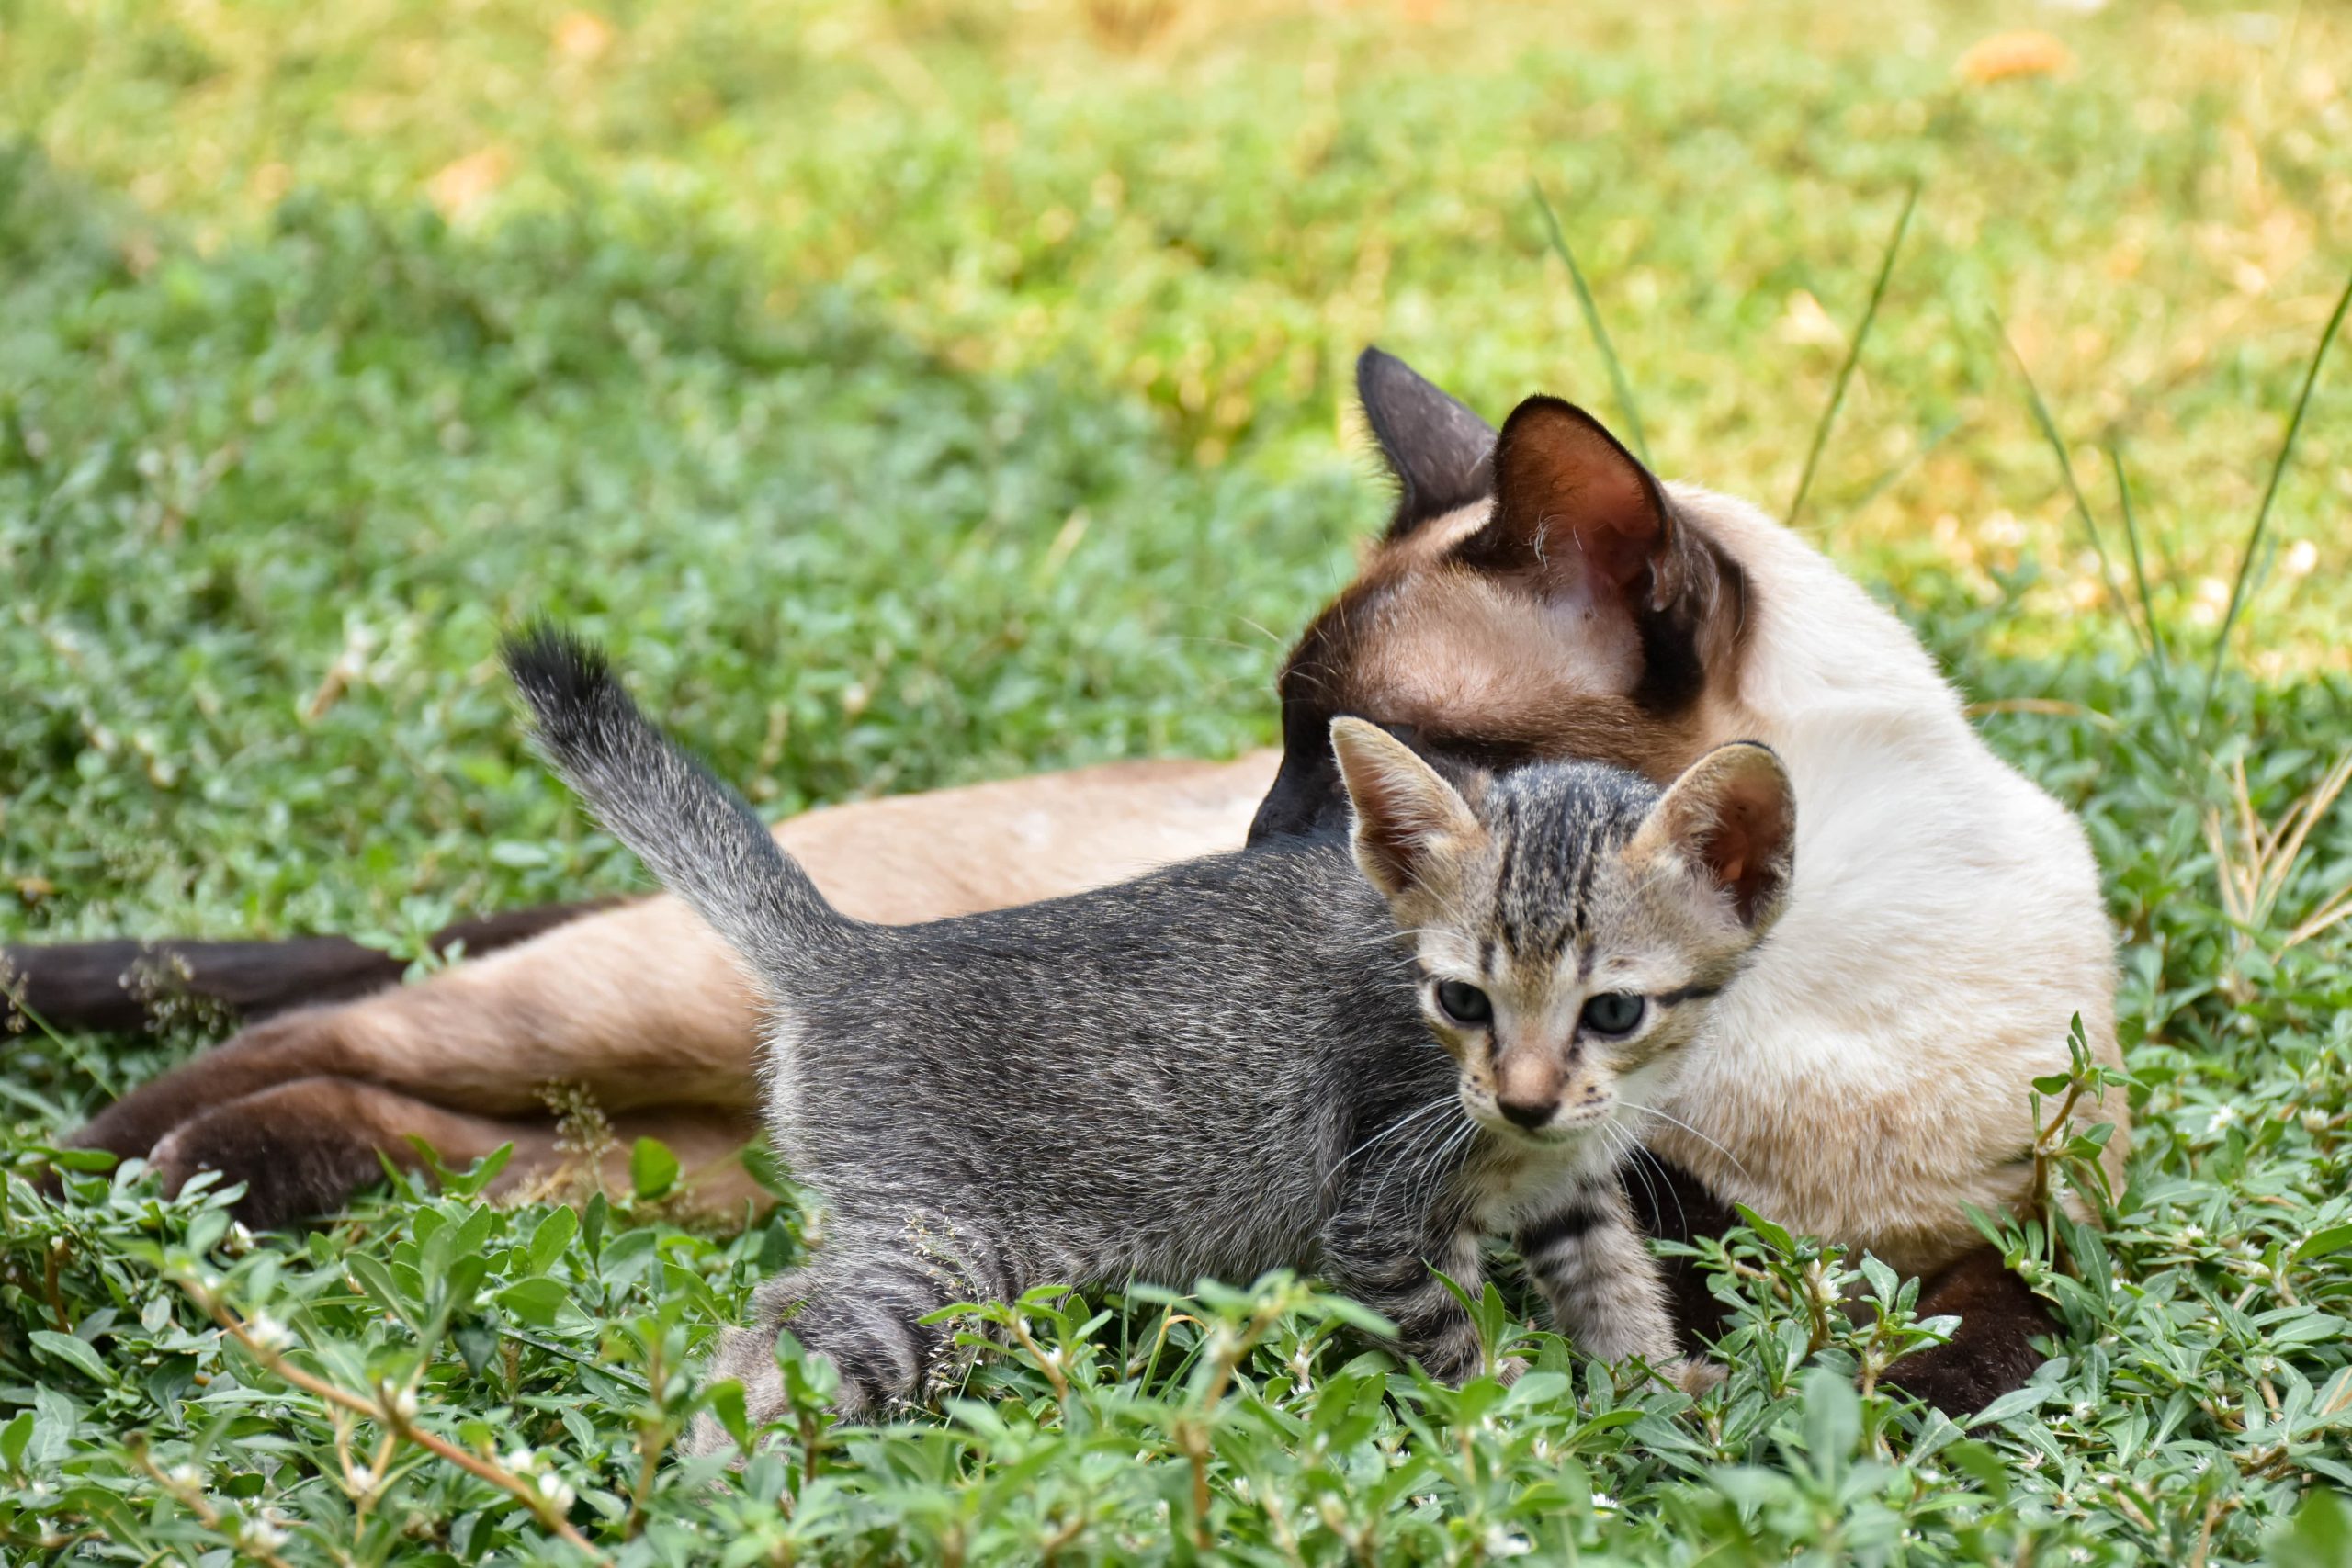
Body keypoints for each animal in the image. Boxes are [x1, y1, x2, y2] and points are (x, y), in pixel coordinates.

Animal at [505, 625, 1787, 1438]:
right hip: (946, 1255)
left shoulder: (1574, 1180)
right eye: (1460, 1000)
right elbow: (1450, 1338)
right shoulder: (1378, 1217)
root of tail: (855, 952)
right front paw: (1515, 1430)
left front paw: (1656, 1393)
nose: (1519, 1094)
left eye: (1610, 1010)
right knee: (773, 1348)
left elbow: (1615, 1283)